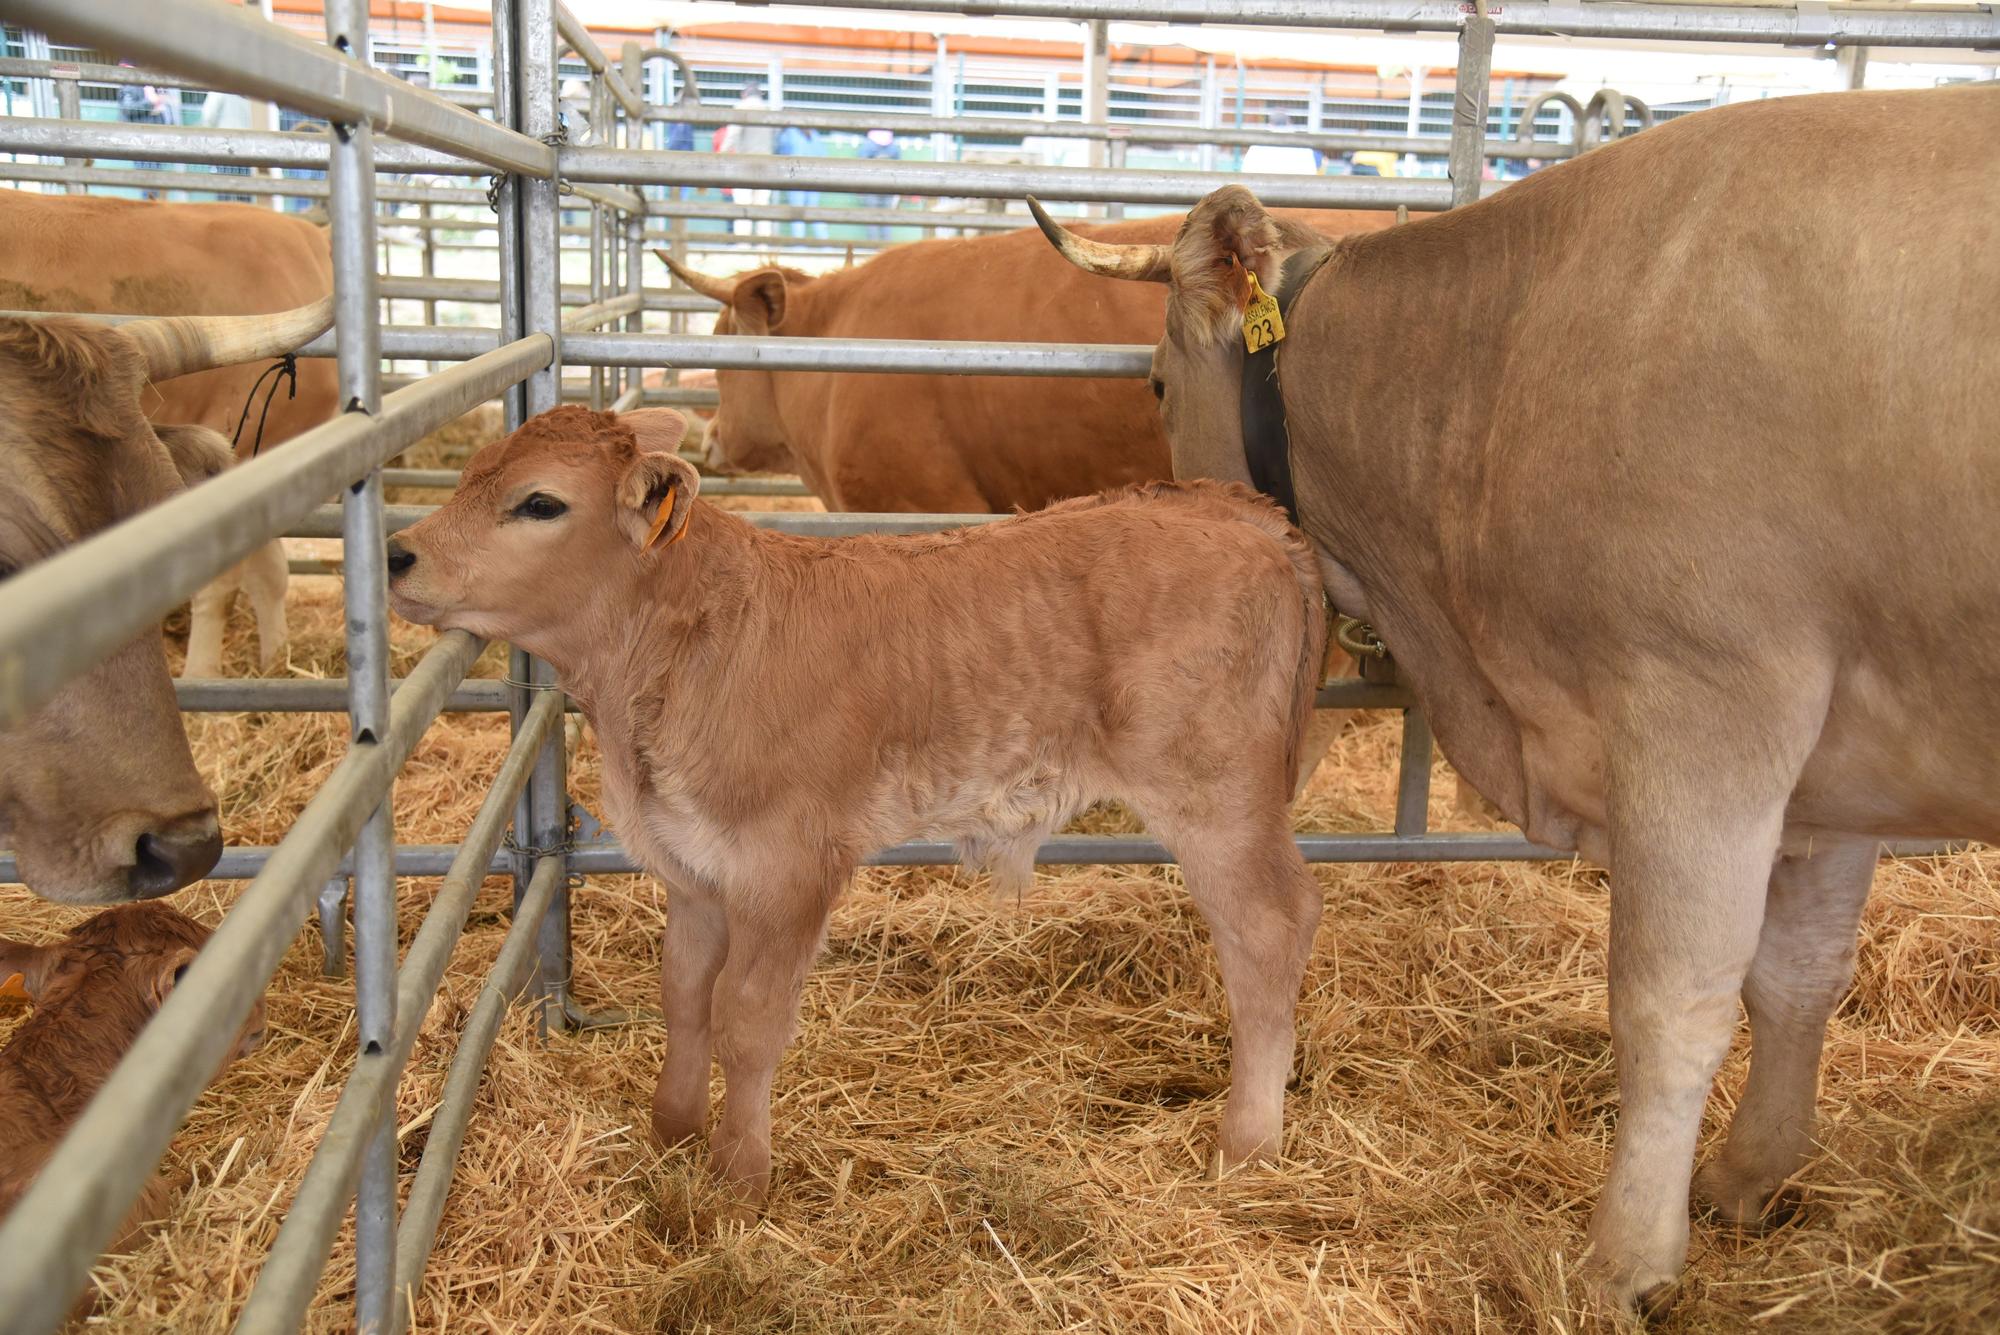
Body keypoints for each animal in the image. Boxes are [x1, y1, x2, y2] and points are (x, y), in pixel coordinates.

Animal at [388, 401, 1328, 1207]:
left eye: (539, 501)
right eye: (472, 472)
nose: (396, 553)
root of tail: (1226, 507)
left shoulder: (787, 866)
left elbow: (748, 1018)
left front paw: (738, 1178)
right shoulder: (693, 865)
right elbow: (686, 995)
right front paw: (672, 1131)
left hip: (1216, 792)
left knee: (1270, 930)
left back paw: (1247, 1145)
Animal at [1032, 83, 2000, 1311]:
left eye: (1156, 384)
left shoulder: (1709, 707)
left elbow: (1670, 1002)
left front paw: (1625, 1261)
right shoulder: (1833, 771)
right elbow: (1799, 975)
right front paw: (1749, 1176)